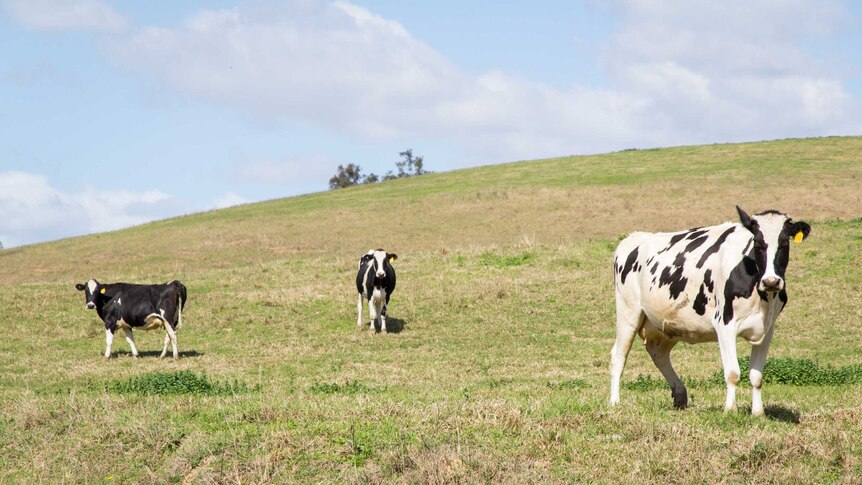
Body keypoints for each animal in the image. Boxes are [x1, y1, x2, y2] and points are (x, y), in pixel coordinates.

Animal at [612, 206, 812, 414]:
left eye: (785, 242)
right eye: (757, 242)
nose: (771, 281)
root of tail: (634, 237)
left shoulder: (767, 329)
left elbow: (757, 376)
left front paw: (758, 413)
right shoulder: (724, 324)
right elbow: (732, 373)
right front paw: (730, 410)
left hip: (668, 325)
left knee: (658, 354)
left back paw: (680, 394)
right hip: (628, 314)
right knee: (619, 355)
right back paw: (615, 402)